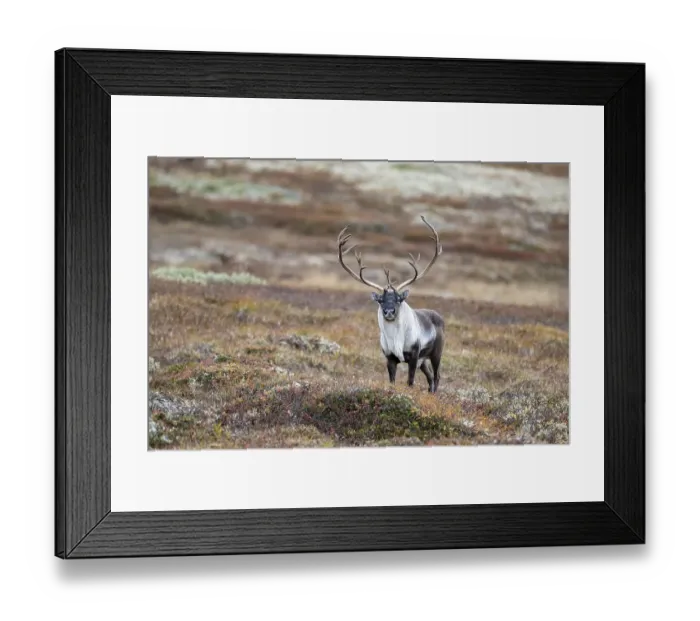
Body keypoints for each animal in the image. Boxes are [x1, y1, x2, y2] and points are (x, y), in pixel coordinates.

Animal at [337, 216, 445, 393]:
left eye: (399, 299)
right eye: (380, 300)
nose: (389, 312)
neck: (396, 339)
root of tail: (439, 316)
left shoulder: (414, 355)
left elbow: (410, 381)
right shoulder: (390, 358)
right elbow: (392, 381)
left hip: (435, 353)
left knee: (436, 376)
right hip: (423, 361)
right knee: (429, 377)